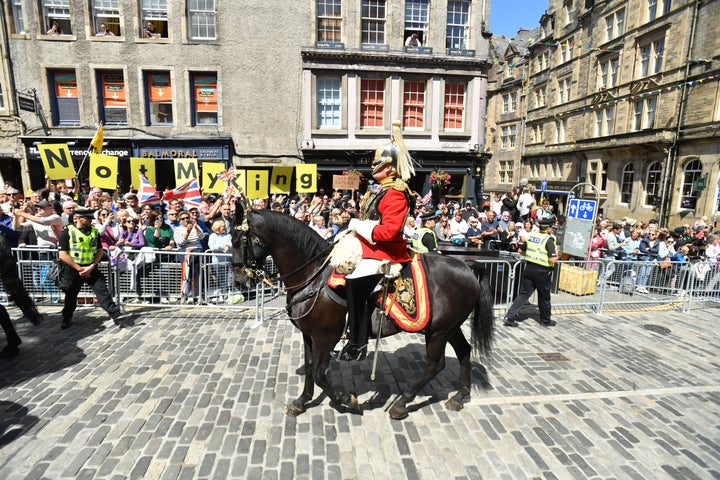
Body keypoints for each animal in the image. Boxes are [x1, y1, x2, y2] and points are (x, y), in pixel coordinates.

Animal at [233, 208, 492, 418]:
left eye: (239, 241)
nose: (239, 280)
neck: (312, 277)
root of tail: (467, 266)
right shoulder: (309, 335)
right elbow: (309, 368)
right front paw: (302, 401)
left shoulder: (326, 337)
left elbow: (319, 373)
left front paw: (346, 399)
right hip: (449, 327)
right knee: (464, 351)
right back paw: (460, 396)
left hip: (438, 332)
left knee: (434, 365)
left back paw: (402, 403)